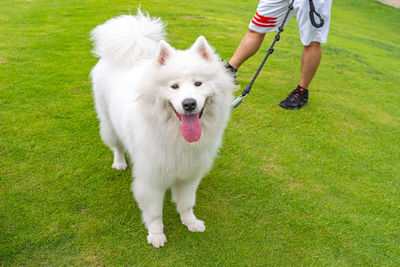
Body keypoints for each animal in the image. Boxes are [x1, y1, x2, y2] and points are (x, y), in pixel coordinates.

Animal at [90, 11, 234, 249]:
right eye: (174, 86)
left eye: (198, 83)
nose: (189, 103)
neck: (175, 136)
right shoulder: (151, 179)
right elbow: (155, 213)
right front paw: (156, 235)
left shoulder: (189, 174)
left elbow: (186, 203)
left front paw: (190, 222)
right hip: (109, 124)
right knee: (116, 145)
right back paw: (119, 162)